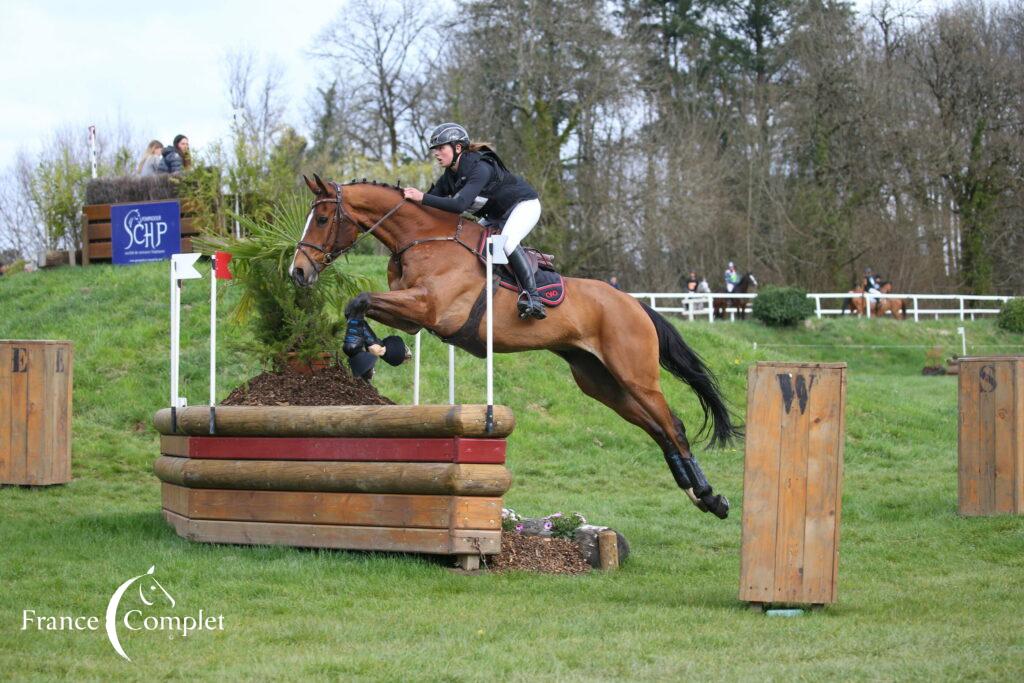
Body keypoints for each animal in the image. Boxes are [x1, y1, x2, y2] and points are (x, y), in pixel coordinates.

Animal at [292, 175, 741, 518]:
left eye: (323, 218)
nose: (298, 273)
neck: (424, 239)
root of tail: (634, 303)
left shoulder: (429, 308)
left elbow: (360, 299)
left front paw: (363, 349)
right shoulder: (412, 314)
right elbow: (362, 305)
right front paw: (374, 349)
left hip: (635, 374)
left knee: (673, 426)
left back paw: (711, 497)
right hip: (599, 381)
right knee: (658, 428)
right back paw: (697, 494)